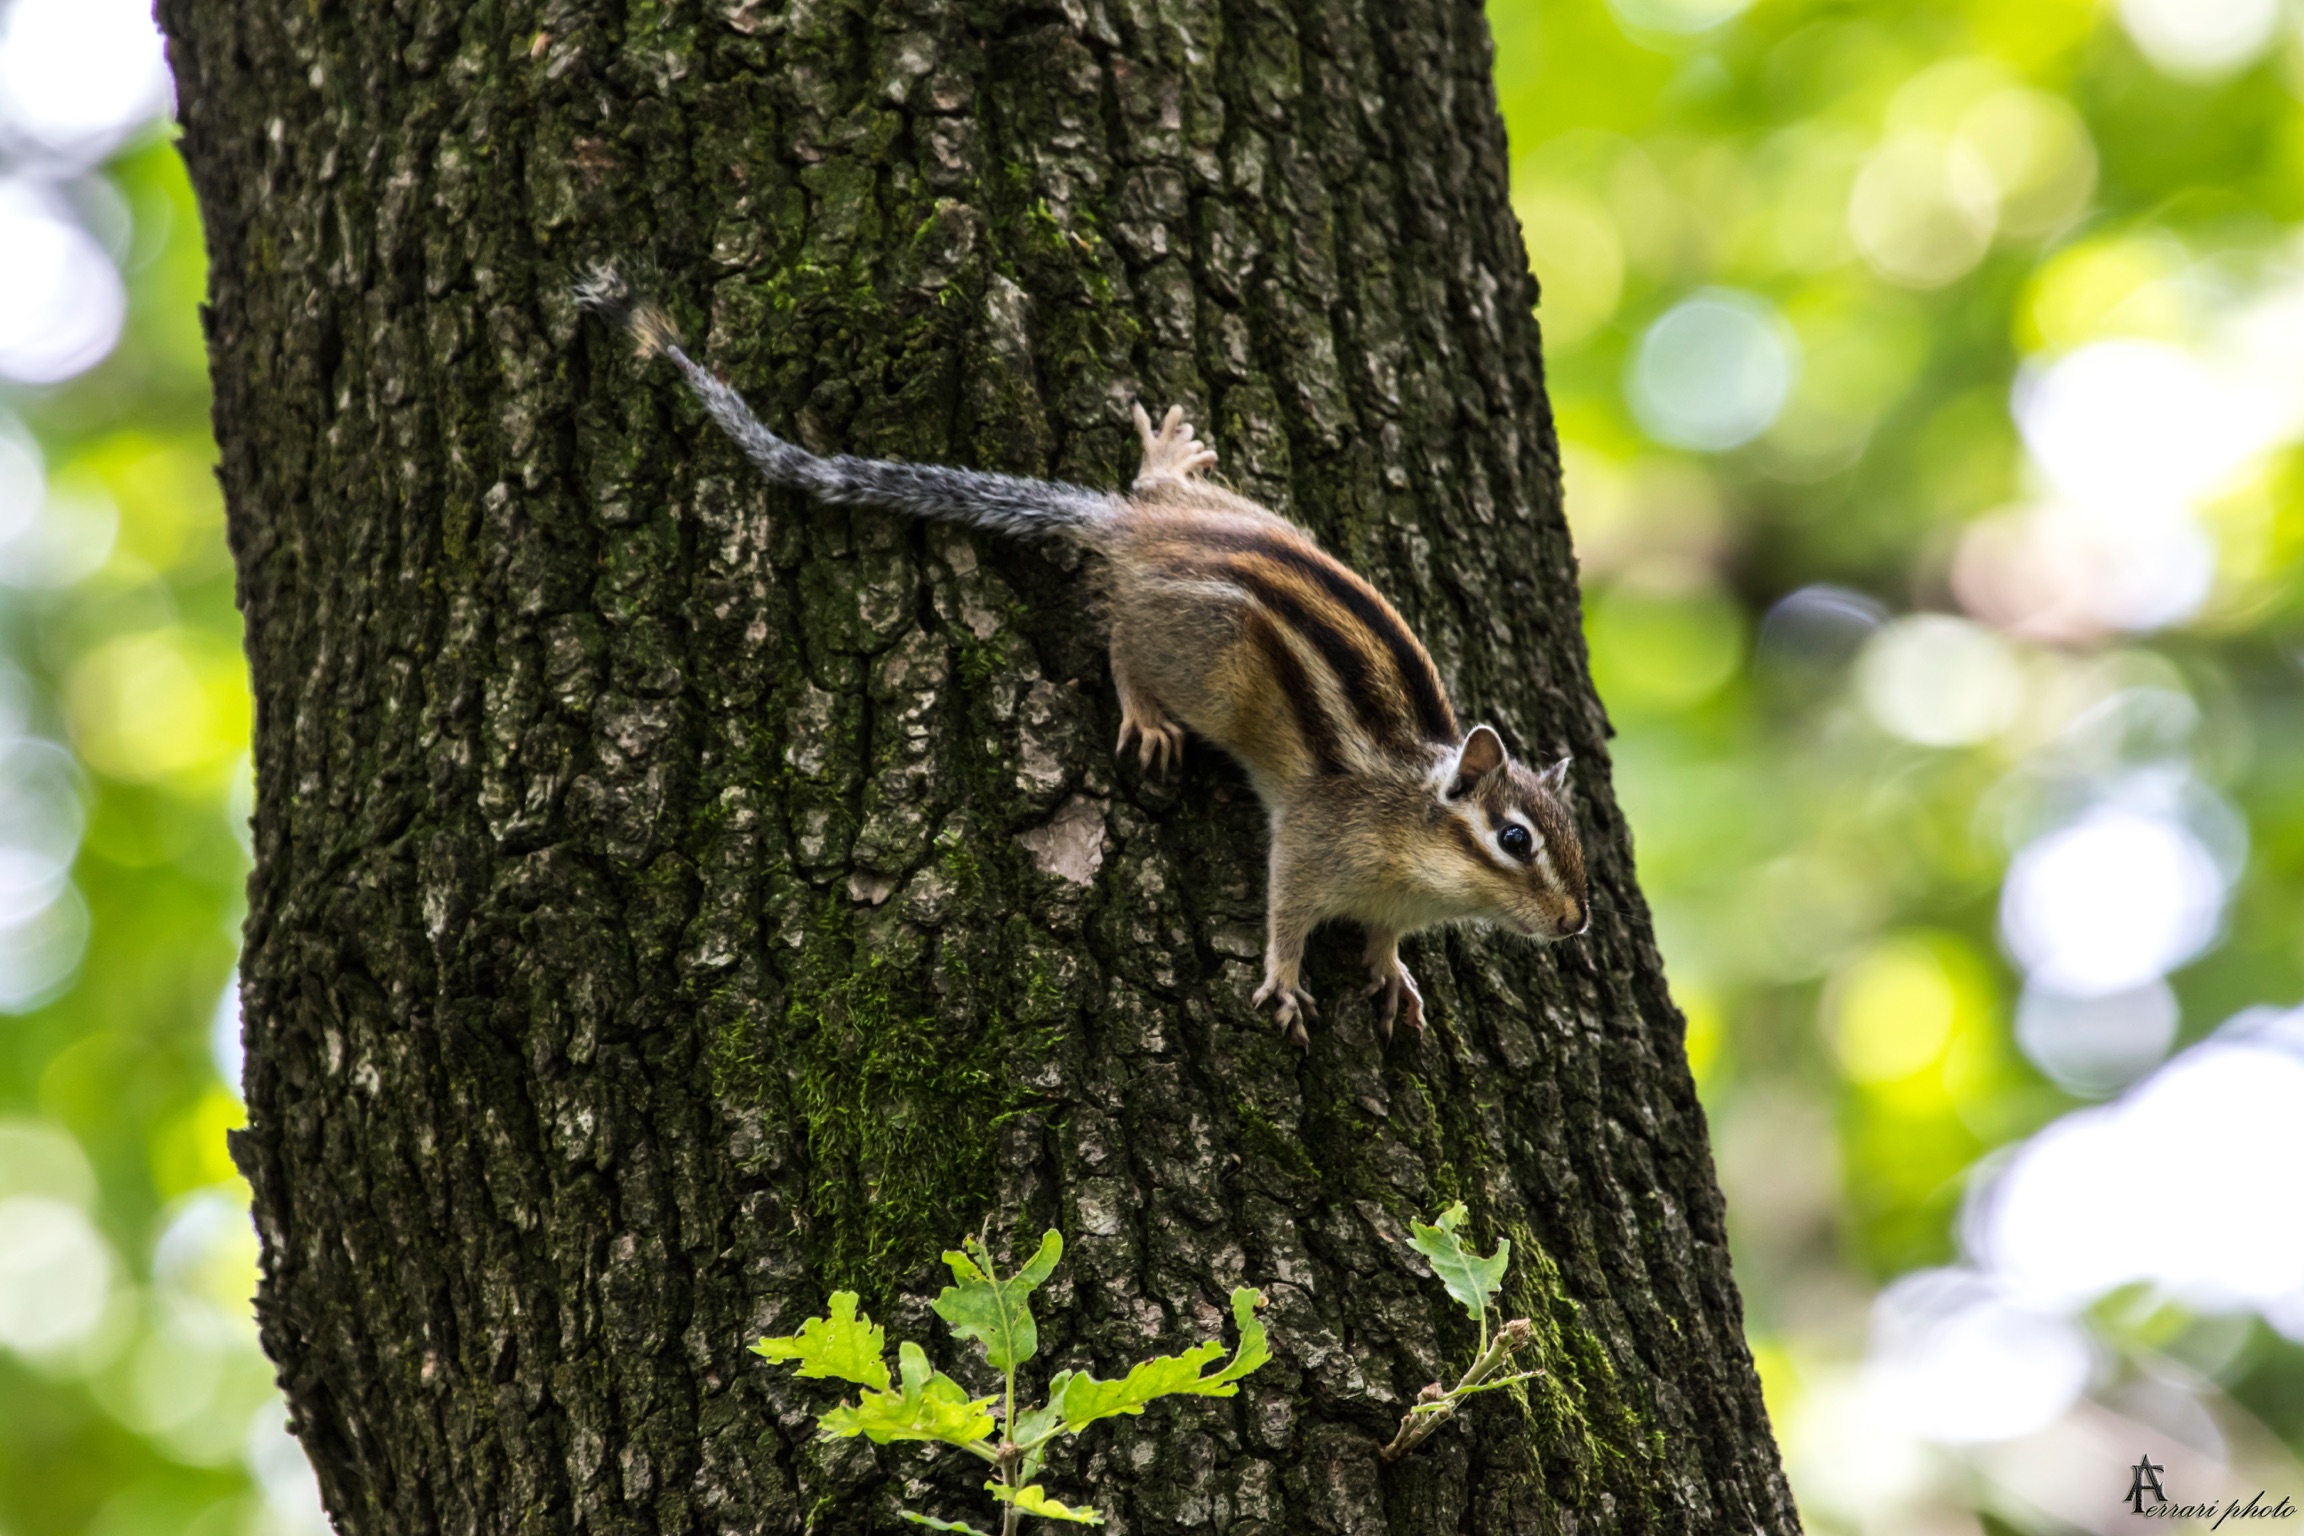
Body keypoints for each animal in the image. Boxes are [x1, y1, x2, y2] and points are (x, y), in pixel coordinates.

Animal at [576, 269, 1588, 1048]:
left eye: (1574, 846)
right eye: (1515, 840)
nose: (1576, 923)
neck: (1417, 839)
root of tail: (1136, 535)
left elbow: (1384, 941)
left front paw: (1393, 975)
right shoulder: (1315, 837)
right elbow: (1285, 908)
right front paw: (1287, 980)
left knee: (1156, 495)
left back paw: (1167, 462)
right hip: (1198, 662)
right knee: (1122, 641)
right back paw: (1143, 707)